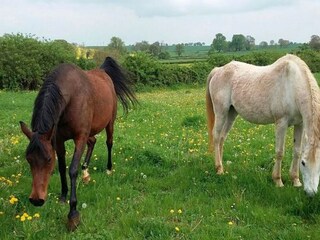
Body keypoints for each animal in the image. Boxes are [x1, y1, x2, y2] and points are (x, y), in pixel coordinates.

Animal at [19, 56, 138, 231]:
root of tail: (103, 72)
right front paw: (63, 196)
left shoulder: (80, 137)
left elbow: (72, 170)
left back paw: (108, 169)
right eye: (28, 159)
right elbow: (62, 167)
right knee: (93, 141)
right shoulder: (58, 139)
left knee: (109, 143)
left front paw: (73, 214)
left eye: (48, 159)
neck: (71, 98)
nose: (36, 199)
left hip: (110, 123)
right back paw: (86, 173)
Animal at [206, 54, 320, 195]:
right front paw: (278, 181)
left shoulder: (300, 124)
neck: (293, 86)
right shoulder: (281, 123)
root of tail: (218, 70)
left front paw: (295, 181)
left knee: (222, 138)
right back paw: (219, 169)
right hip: (221, 112)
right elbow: (279, 152)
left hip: (231, 114)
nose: (311, 193)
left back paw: (222, 165)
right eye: (303, 163)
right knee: (216, 137)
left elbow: (297, 151)